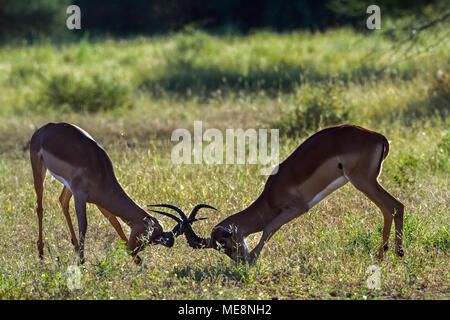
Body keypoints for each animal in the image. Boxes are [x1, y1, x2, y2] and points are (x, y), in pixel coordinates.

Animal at [28, 121, 197, 264]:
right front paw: (81, 263)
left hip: (67, 186)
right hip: (39, 171)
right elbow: (84, 225)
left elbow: (115, 222)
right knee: (39, 207)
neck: (100, 171)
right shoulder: (80, 195)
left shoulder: (100, 201)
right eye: (147, 235)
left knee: (62, 201)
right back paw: (41, 253)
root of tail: (44, 128)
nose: (132, 251)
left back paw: (74, 247)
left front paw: (138, 262)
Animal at [153, 125, 406, 264]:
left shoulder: (297, 209)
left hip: (363, 181)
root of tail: (379, 137)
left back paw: (398, 254)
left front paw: (253, 261)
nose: (239, 262)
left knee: (396, 206)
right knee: (388, 209)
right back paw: (383, 255)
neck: (270, 196)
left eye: (224, 244)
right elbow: (272, 229)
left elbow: (268, 228)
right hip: (367, 182)